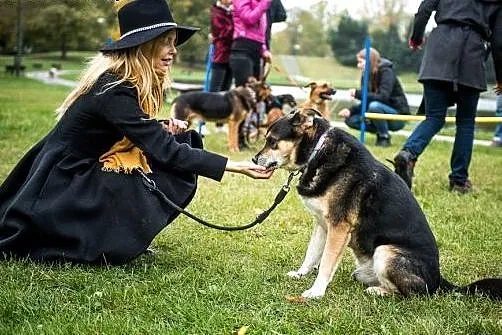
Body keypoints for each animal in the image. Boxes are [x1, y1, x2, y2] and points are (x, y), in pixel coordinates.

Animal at [253, 109, 502, 300]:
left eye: (271, 141)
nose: (254, 159)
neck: (317, 151)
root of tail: (439, 281)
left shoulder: (339, 228)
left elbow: (325, 263)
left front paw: (316, 292)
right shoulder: (322, 225)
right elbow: (312, 254)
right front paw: (301, 274)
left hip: (386, 252)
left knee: (415, 293)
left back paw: (379, 291)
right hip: (366, 267)